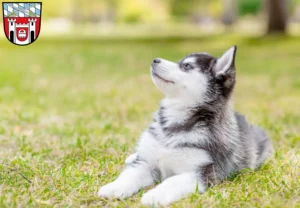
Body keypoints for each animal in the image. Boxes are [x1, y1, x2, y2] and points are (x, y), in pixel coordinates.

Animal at [97, 46, 274, 206]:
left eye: (187, 66)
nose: (155, 60)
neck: (173, 125)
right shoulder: (146, 163)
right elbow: (130, 175)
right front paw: (113, 188)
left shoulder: (203, 173)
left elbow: (172, 181)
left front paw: (154, 195)